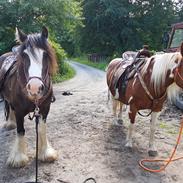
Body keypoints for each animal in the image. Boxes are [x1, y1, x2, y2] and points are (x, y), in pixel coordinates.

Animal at [0, 27, 58, 167]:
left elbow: (42, 129)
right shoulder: (19, 111)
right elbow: (21, 131)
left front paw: (45, 153)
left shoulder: (45, 109)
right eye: (25, 56)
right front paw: (19, 158)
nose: (34, 88)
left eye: (45, 55)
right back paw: (10, 123)